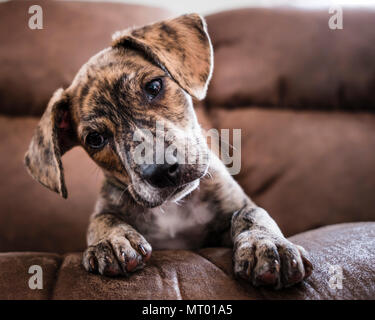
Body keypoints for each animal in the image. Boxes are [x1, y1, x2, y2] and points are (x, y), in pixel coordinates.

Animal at [24, 14, 314, 288]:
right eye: (95, 139)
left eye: (154, 86)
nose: (161, 170)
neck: (175, 208)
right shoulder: (108, 204)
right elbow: (100, 219)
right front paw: (112, 241)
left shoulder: (235, 205)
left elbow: (252, 214)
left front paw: (266, 244)